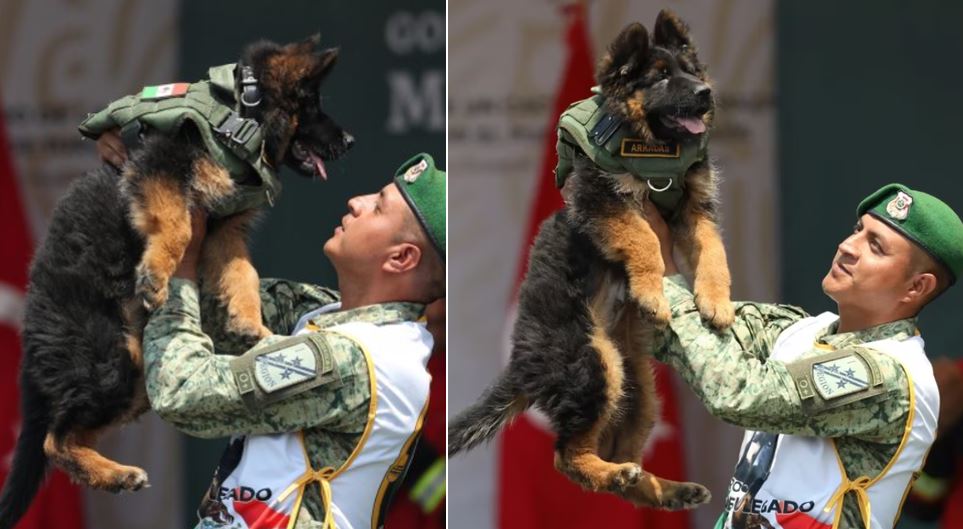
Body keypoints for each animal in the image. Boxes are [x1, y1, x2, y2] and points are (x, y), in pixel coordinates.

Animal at [0, 35, 354, 524]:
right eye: (313, 105)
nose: (350, 140)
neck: (241, 113)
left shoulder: (225, 229)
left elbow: (243, 274)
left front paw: (251, 325)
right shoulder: (163, 170)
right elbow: (178, 226)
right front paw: (156, 274)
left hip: (133, 379)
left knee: (65, 436)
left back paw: (114, 474)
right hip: (110, 361)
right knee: (54, 442)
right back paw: (117, 474)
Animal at [448, 11, 736, 508]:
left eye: (690, 72)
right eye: (661, 77)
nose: (705, 94)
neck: (653, 150)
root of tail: (522, 364)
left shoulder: (695, 210)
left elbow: (713, 253)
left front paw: (716, 302)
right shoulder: (601, 201)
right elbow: (644, 238)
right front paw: (652, 293)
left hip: (637, 387)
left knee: (622, 458)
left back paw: (662, 487)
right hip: (592, 365)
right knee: (566, 456)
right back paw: (614, 474)